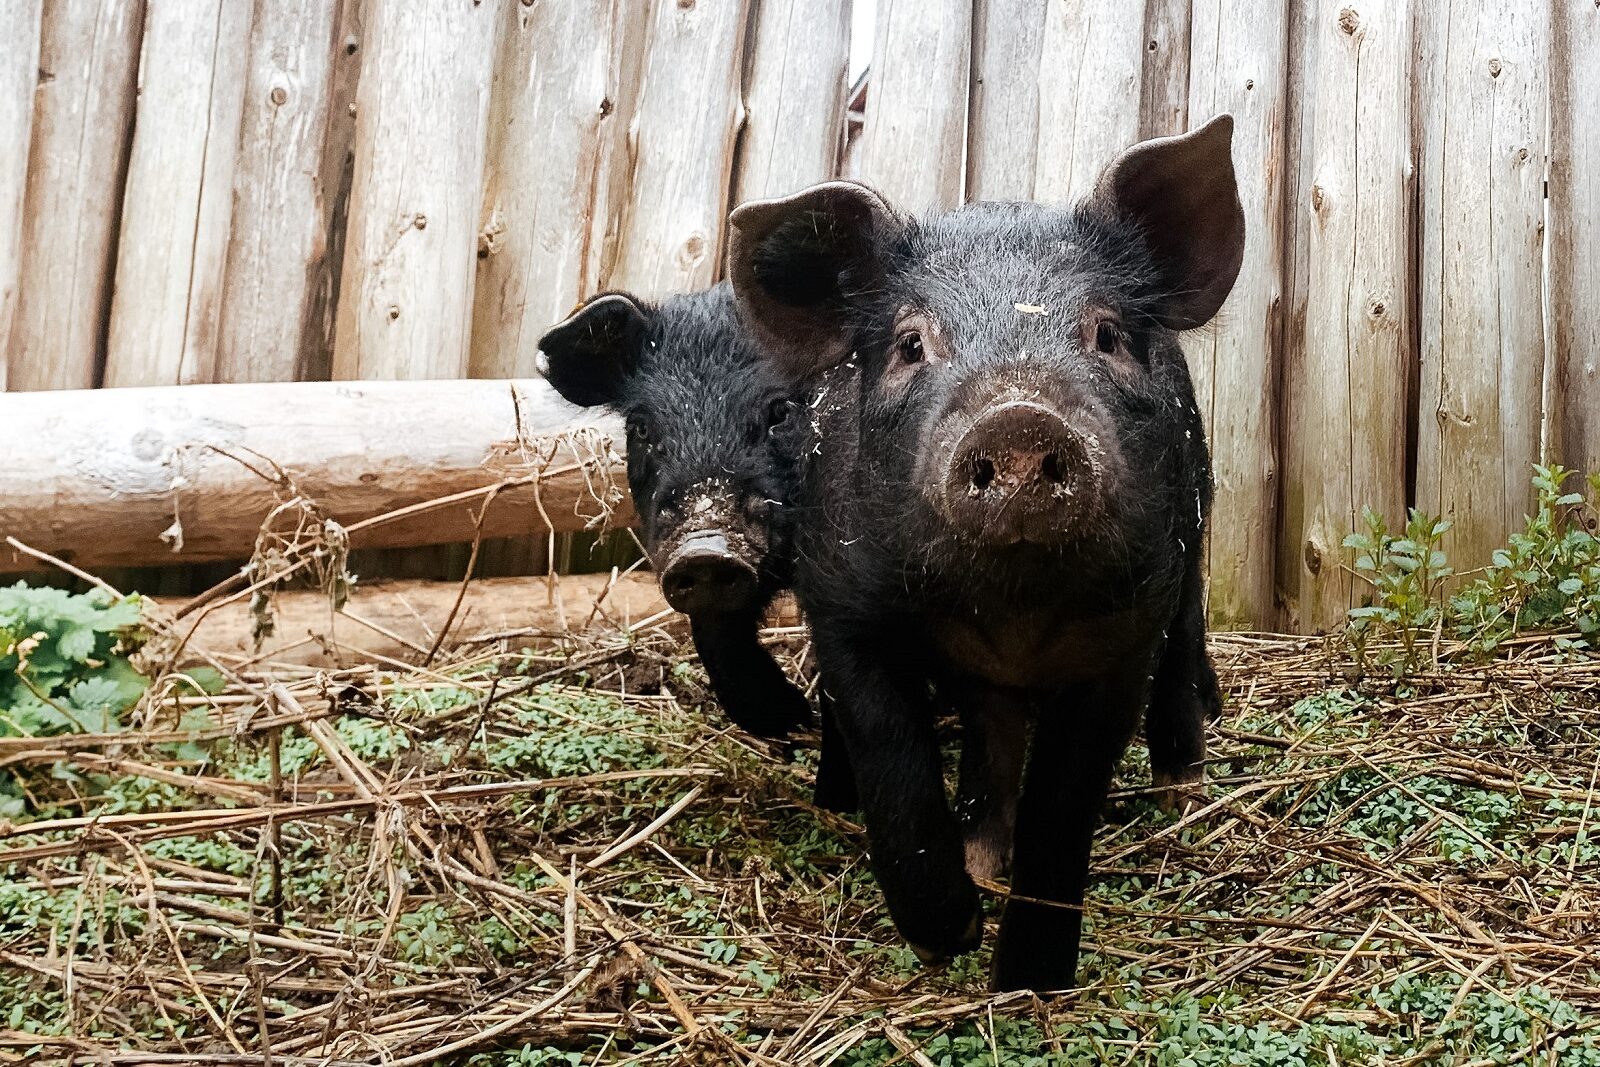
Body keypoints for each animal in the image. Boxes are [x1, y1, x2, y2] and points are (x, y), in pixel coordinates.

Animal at [538, 284, 858, 809]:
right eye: (642, 427)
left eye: (781, 412)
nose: (705, 547)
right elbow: (716, 637)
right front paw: (786, 720)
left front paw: (834, 803)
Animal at [726, 116, 1241, 992]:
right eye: (910, 345)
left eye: (1106, 333)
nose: (1020, 417)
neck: (1012, 614)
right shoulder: (844, 604)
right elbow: (894, 766)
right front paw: (950, 934)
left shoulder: (1124, 627)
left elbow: (1064, 803)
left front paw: (1030, 981)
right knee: (988, 732)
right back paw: (979, 858)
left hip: (1194, 534)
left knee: (1184, 645)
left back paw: (1181, 790)